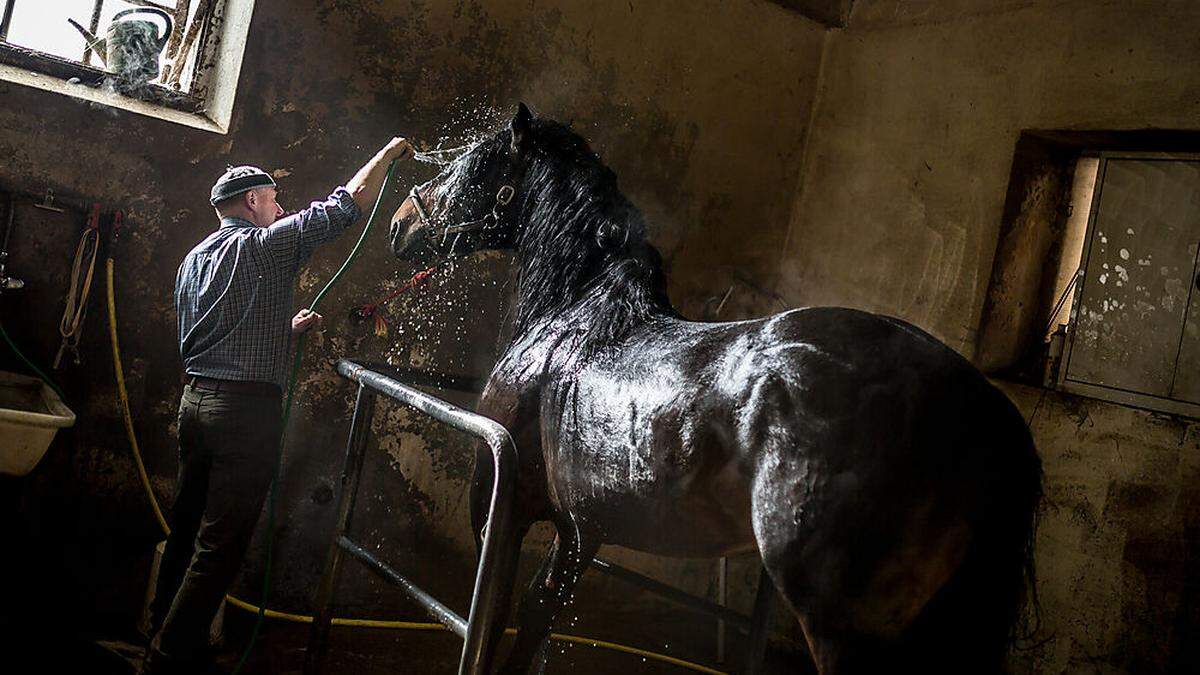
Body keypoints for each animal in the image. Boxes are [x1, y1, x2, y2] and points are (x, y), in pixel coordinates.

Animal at [386, 105, 1041, 672]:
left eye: (474, 162)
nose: (399, 223)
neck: (571, 317)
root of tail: (985, 411)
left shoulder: (499, 506)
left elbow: (490, 622)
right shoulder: (580, 531)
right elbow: (535, 620)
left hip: (843, 631)